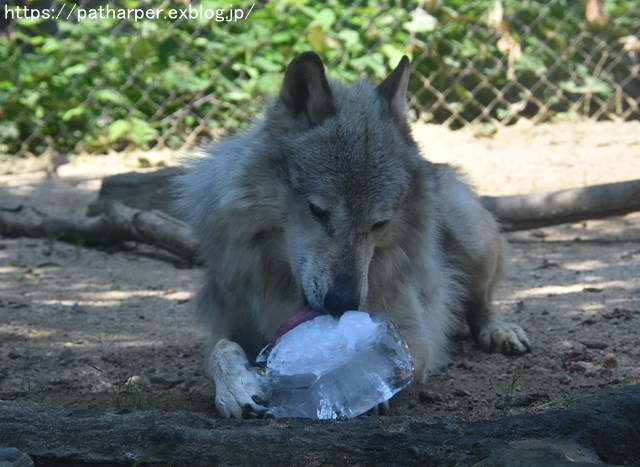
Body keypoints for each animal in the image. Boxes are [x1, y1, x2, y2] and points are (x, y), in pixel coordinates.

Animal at [175, 52, 528, 420]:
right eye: (317, 210)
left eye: (379, 223)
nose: (343, 303)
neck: (282, 290)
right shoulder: (230, 321)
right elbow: (220, 350)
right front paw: (237, 388)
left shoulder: (415, 332)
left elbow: (400, 357)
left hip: (473, 236)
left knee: (481, 304)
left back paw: (500, 331)